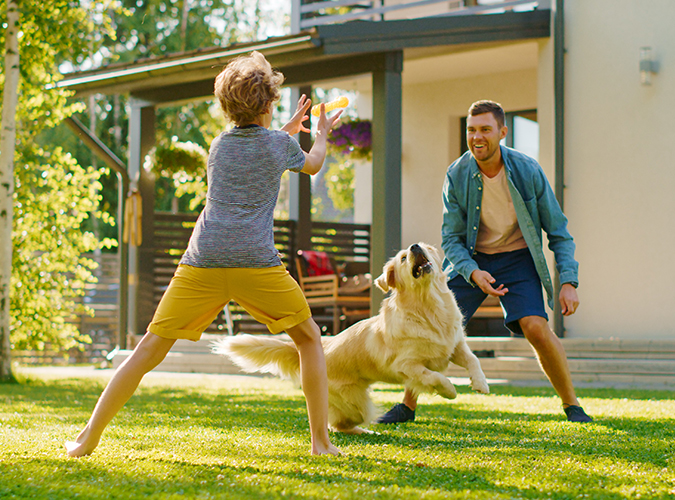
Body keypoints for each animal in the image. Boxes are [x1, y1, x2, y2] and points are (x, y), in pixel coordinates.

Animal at [214, 242, 488, 434]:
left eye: (424, 246)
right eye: (402, 258)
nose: (414, 247)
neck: (428, 307)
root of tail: (324, 344)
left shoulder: (455, 345)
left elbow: (474, 359)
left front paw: (481, 384)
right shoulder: (406, 365)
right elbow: (434, 376)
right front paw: (450, 391)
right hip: (356, 404)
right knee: (339, 424)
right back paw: (365, 431)